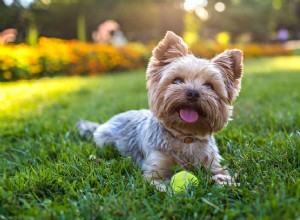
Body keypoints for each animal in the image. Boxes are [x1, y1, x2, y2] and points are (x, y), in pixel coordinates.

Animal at [76, 31, 243, 191]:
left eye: (210, 86)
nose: (193, 93)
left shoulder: (212, 163)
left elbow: (222, 174)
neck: (185, 137)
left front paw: (226, 184)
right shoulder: (156, 168)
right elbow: (163, 185)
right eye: (177, 80)